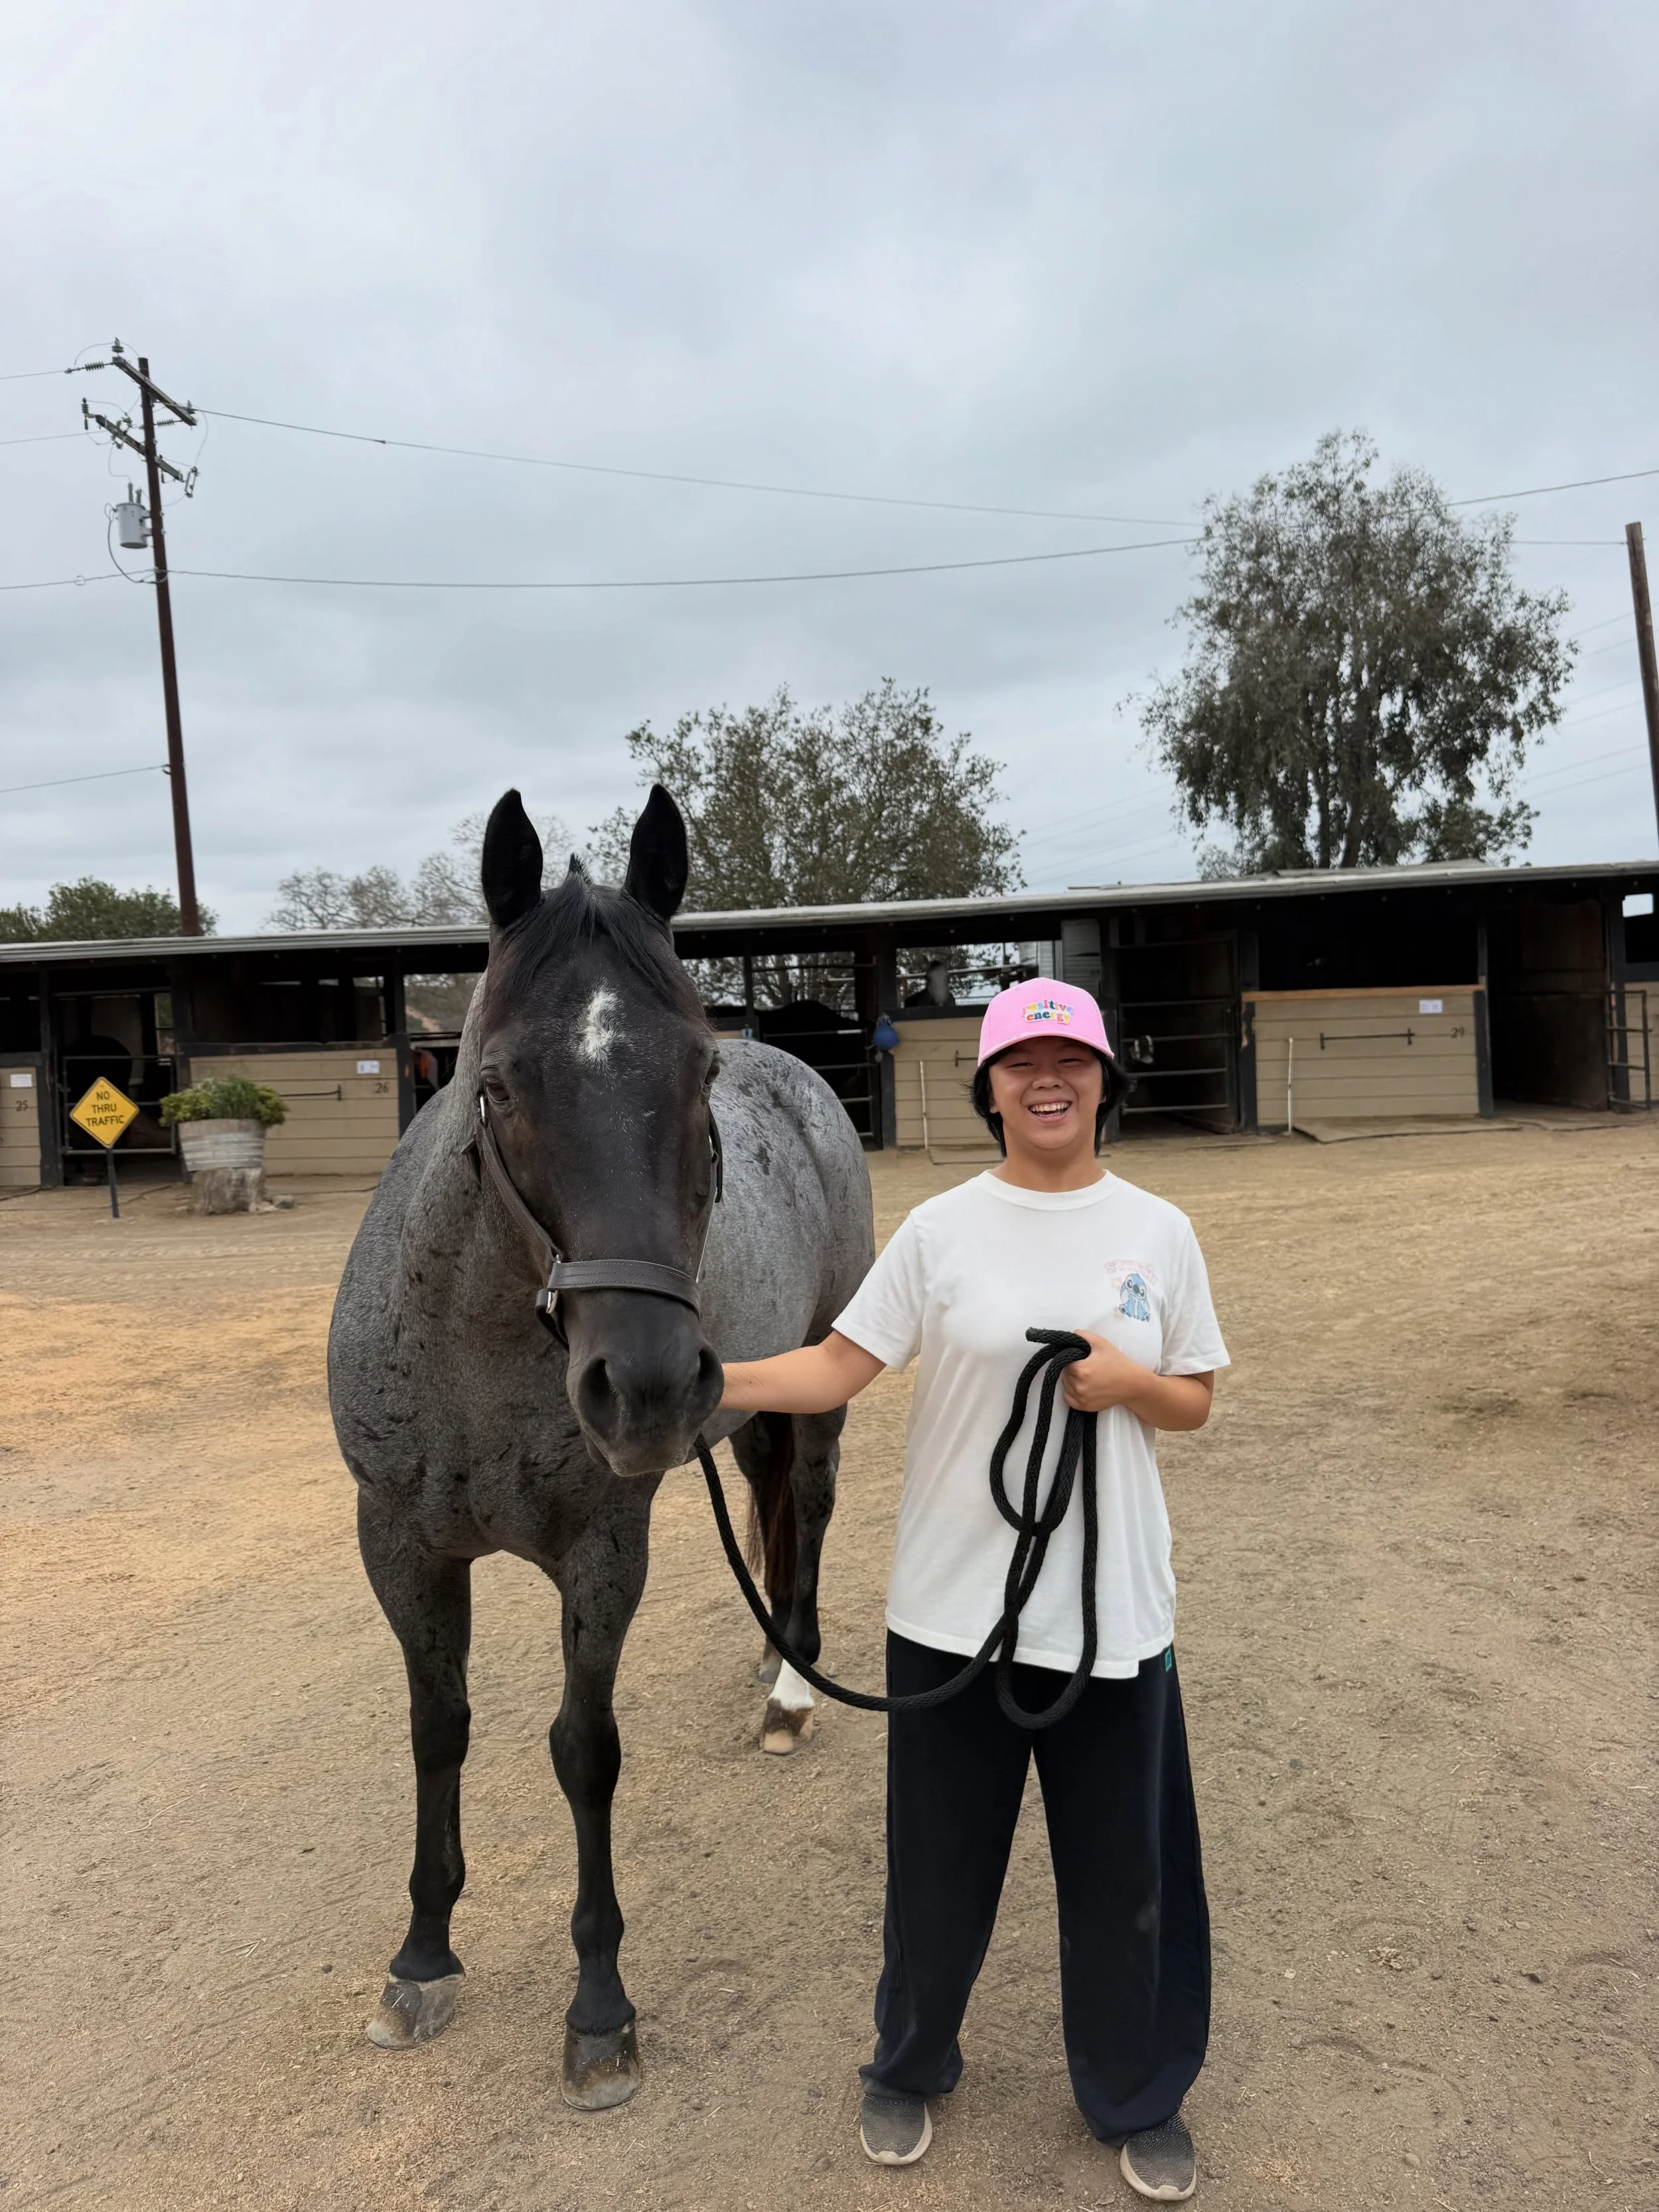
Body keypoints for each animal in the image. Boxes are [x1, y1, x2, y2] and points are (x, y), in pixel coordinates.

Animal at [327, 785, 874, 2108]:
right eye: (497, 1081)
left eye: (698, 1068)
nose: (646, 1383)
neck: (475, 1357)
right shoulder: (401, 1547)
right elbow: (438, 1727)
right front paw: (422, 1955)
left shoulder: (601, 1553)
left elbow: (583, 1751)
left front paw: (599, 2009)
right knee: (773, 1502)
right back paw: (770, 1649)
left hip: (818, 1380)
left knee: (816, 1500)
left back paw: (793, 1684)